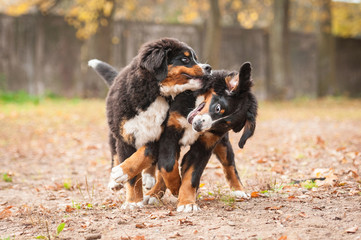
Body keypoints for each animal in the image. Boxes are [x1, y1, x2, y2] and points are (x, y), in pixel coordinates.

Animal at [88, 37, 211, 208]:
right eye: (185, 59)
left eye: (196, 59)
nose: (208, 68)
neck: (155, 94)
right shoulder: (126, 136)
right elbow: (133, 173)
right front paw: (132, 201)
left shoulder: (161, 136)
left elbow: (145, 156)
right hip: (114, 132)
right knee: (114, 154)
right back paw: (115, 180)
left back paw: (148, 178)